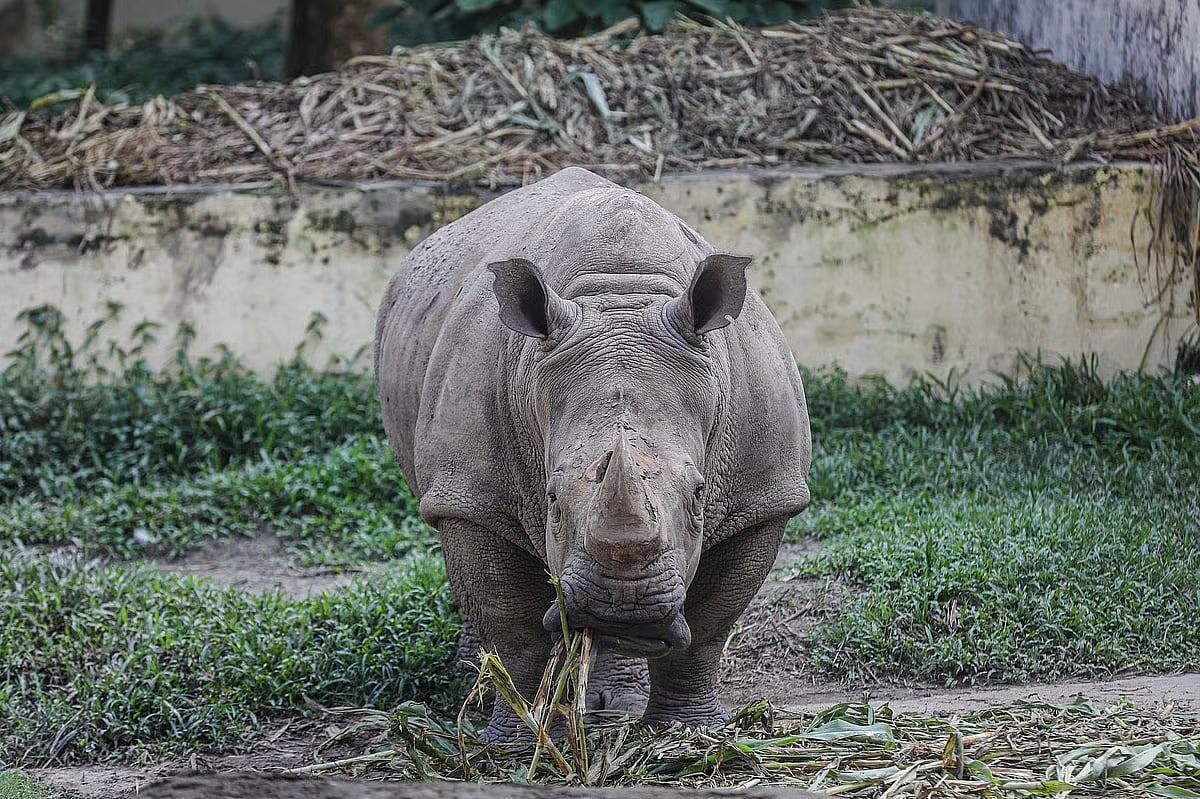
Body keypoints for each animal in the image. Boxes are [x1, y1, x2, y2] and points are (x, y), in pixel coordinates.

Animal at [375, 167, 811, 741]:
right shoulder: (471, 492)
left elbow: (711, 621)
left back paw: (610, 701)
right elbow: (510, 620)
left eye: (699, 496)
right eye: (551, 500)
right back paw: (476, 682)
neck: (620, 294)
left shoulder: (761, 496)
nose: (622, 607)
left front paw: (685, 731)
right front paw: (518, 740)